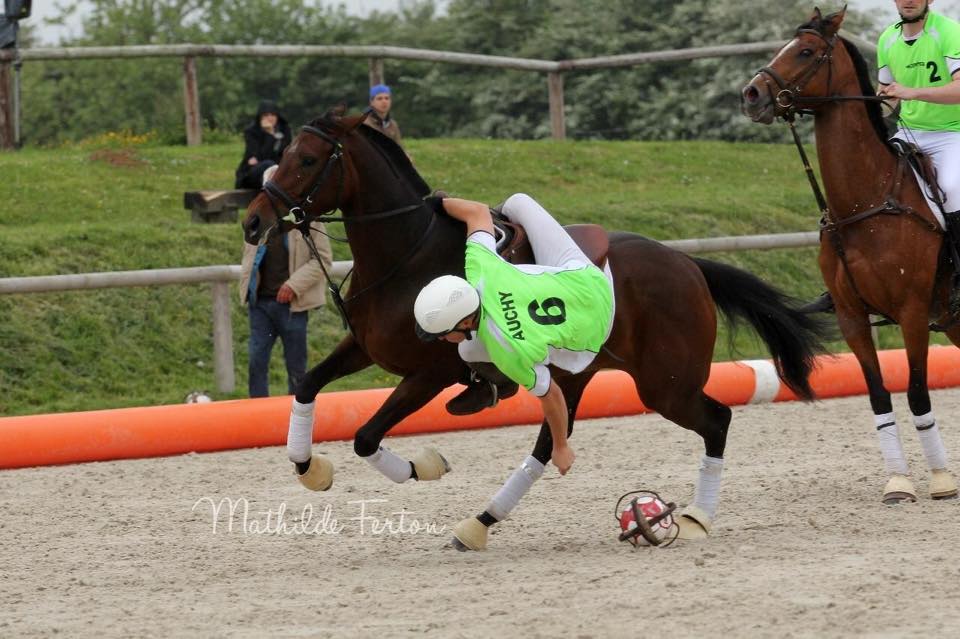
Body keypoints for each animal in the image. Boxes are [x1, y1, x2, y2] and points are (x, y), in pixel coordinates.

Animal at [244, 110, 828, 552]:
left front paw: (422, 466)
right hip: (580, 376)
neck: (407, 255)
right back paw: (480, 525)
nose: (252, 221)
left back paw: (696, 516)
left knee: (717, 420)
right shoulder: (362, 348)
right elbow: (306, 386)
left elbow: (366, 436)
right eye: (285, 153)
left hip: (665, 386)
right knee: (550, 446)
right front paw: (310, 467)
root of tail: (688, 265)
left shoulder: (430, 372)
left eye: (308, 159)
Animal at [744, 6, 960, 504]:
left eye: (806, 51)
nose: (751, 93)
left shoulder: (913, 311)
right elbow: (879, 394)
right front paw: (898, 482)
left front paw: (941, 480)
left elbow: (917, 391)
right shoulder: (851, 316)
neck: (864, 204)